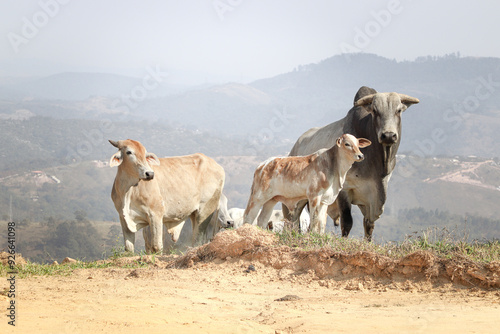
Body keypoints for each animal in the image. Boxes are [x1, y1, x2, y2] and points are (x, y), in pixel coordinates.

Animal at [286, 87, 418, 240]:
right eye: (375, 110)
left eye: (399, 110)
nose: (389, 135)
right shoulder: (344, 190)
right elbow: (347, 222)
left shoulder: (372, 199)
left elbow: (369, 225)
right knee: (294, 219)